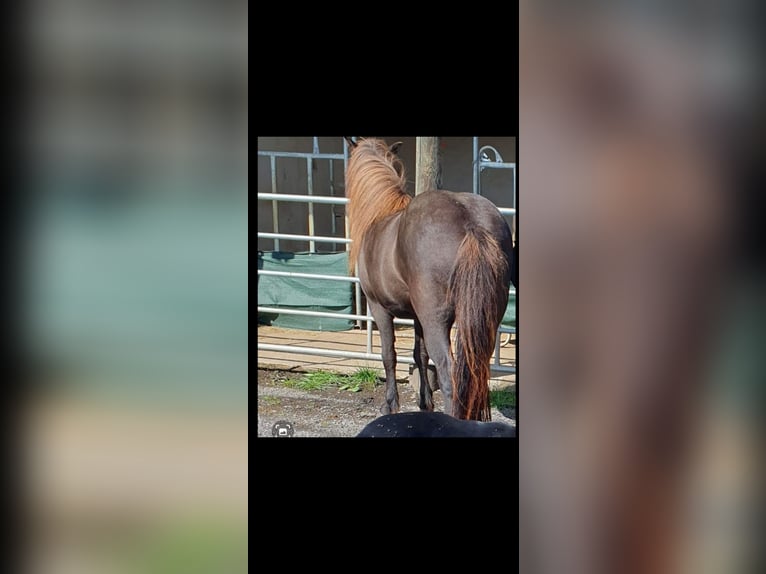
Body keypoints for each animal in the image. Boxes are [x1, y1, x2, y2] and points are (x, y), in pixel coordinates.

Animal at [344, 137, 514, 421]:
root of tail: (471, 223)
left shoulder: (379, 309)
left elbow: (389, 355)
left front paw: (390, 404)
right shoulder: (417, 316)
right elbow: (419, 355)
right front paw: (425, 403)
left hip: (437, 321)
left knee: (449, 373)